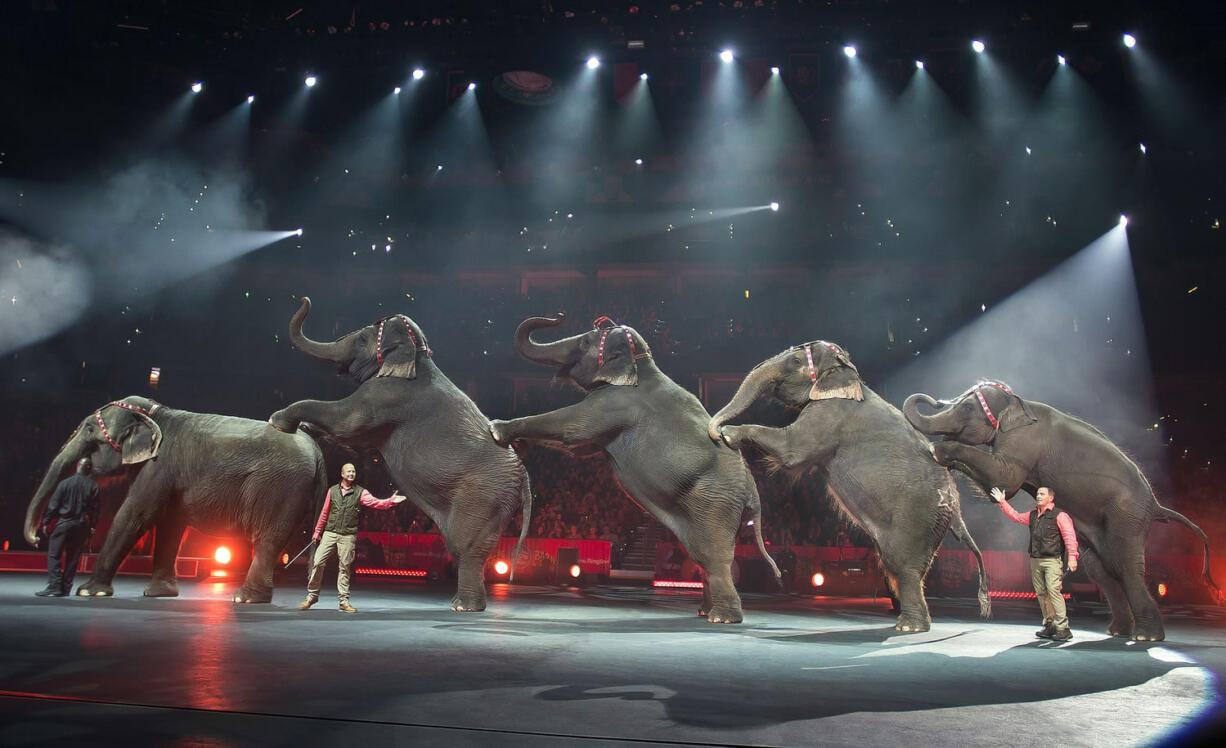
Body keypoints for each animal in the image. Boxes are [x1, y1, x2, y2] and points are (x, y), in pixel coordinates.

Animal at [26, 397, 328, 600]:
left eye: (89, 429)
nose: (38, 537)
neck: (157, 414)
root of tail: (317, 452)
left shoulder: (160, 465)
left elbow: (135, 515)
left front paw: (89, 593)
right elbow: (170, 524)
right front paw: (159, 593)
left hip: (279, 486)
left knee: (267, 538)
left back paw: (245, 599)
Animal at [270, 294, 529, 608]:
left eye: (363, 338)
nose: (305, 299)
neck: (419, 354)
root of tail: (524, 478)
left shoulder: (386, 396)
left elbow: (347, 421)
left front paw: (279, 420)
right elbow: (355, 440)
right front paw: (306, 427)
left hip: (483, 498)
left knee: (466, 549)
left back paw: (463, 606)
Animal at [485, 313, 774, 622]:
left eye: (585, 342)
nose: (559, 316)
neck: (641, 364)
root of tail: (752, 490)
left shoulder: (615, 403)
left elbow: (572, 428)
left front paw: (498, 428)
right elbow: (581, 448)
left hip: (716, 503)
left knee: (713, 556)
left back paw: (722, 617)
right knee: (700, 555)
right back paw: (704, 611)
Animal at [706, 338, 990, 627]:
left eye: (796, 361)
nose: (714, 430)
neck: (848, 375)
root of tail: (956, 509)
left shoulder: (830, 413)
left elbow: (791, 450)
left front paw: (728, 434)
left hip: (919, 517)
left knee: (903, 565)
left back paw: (909, 626)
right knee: (892, 566)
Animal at [902, 382, 1216, 637]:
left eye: (967, 407)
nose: (934, 399)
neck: (1018, 402)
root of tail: (1155, 504)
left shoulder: (1024, 441)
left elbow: (1005, 479)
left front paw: (938, 451)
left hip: (1127, 515)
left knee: (1125, 566)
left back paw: (1146, 637)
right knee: (1101, 568)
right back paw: (1117, 631)